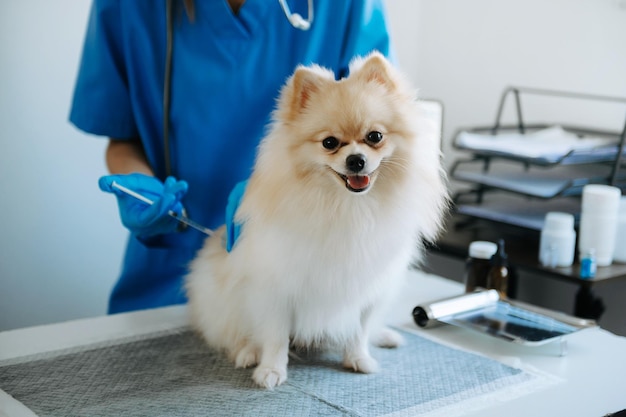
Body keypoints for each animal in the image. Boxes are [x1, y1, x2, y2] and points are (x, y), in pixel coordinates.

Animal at [183, 51, 446, 386]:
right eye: (330, 143)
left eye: (374, 137)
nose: (356, 160)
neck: (348, 207)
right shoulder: (275, 287)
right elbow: (275, 335)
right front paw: (271, 369)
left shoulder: (369, 288)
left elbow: (359, 329)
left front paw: (358, 358)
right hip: (221, 297)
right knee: (234, 332)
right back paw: (248, 352)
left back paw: (384, 336)